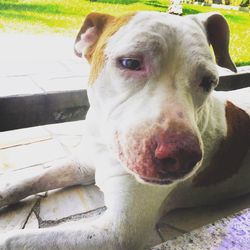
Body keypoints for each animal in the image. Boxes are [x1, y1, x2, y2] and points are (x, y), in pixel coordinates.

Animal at [0, 11, 250, 250]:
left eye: (208, 81)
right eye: (130, 63)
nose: (182, 157)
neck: (105, 144)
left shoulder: (115, 233)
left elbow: (14, 239)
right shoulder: (82, 165)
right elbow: (29, 179)